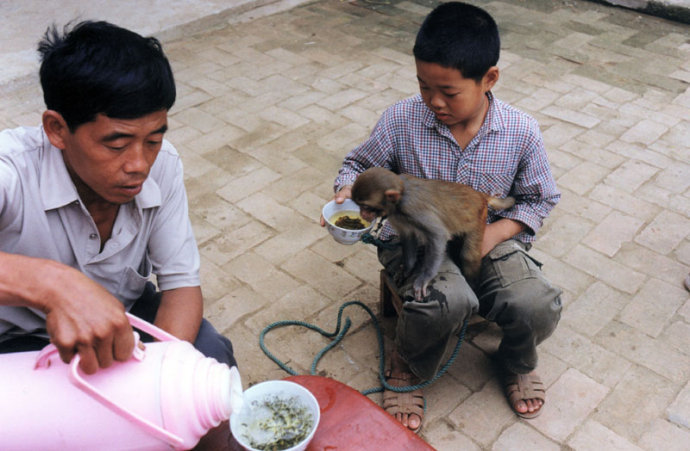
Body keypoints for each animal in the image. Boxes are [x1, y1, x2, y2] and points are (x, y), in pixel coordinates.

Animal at [352, 168, 512, 302]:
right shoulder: (399, 217)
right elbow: (409, 236)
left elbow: (438, 234)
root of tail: (480, 195)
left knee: (468, 255)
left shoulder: (413, 209)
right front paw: (407, 268)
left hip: (478, 219)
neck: (401, 196)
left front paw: (424, 278)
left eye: (365, 206)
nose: (362, 213)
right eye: (360, 206)